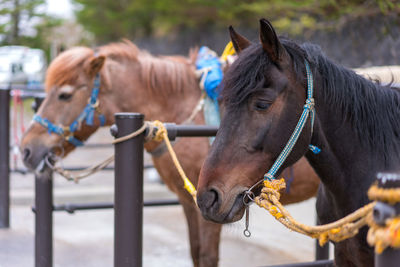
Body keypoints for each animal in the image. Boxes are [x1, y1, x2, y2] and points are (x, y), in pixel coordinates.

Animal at [21, 40, 320, 267]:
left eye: (65, 95)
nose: (26, 149)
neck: (186, 113)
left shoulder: (214, 205)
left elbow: (208, 256)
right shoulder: (190, 201)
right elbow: (195, 253)